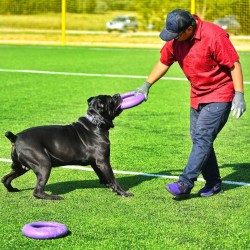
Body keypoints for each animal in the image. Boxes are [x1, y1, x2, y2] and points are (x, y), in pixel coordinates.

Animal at [1, 94, 133, 200]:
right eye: (111, 100)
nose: (118, 94)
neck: (95, 122)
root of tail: (15, 137)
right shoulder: (103, 161)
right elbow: (113, 178)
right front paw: (123, 193)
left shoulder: (96, 163)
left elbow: (104, 177)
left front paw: (110, 187)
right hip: (44, 164)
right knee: (37, 191)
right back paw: (54, 197)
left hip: (21, 167)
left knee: (5, 179)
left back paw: (12, 189)